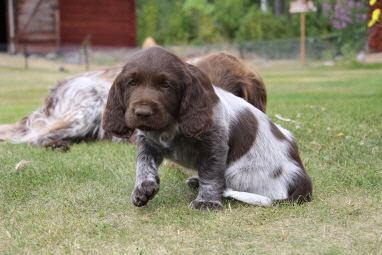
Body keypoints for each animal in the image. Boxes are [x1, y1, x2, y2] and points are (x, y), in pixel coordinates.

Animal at [103, 46, 312, 210]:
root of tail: (301, 178)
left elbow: (211, 174)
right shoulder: (148, 144)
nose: (142, 112)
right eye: (132, 83)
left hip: (238, 172)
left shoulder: (214, 145)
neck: (171, 125)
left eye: (166, 85)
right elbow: (143, 164)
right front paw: (143, 188)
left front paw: (207, 202)